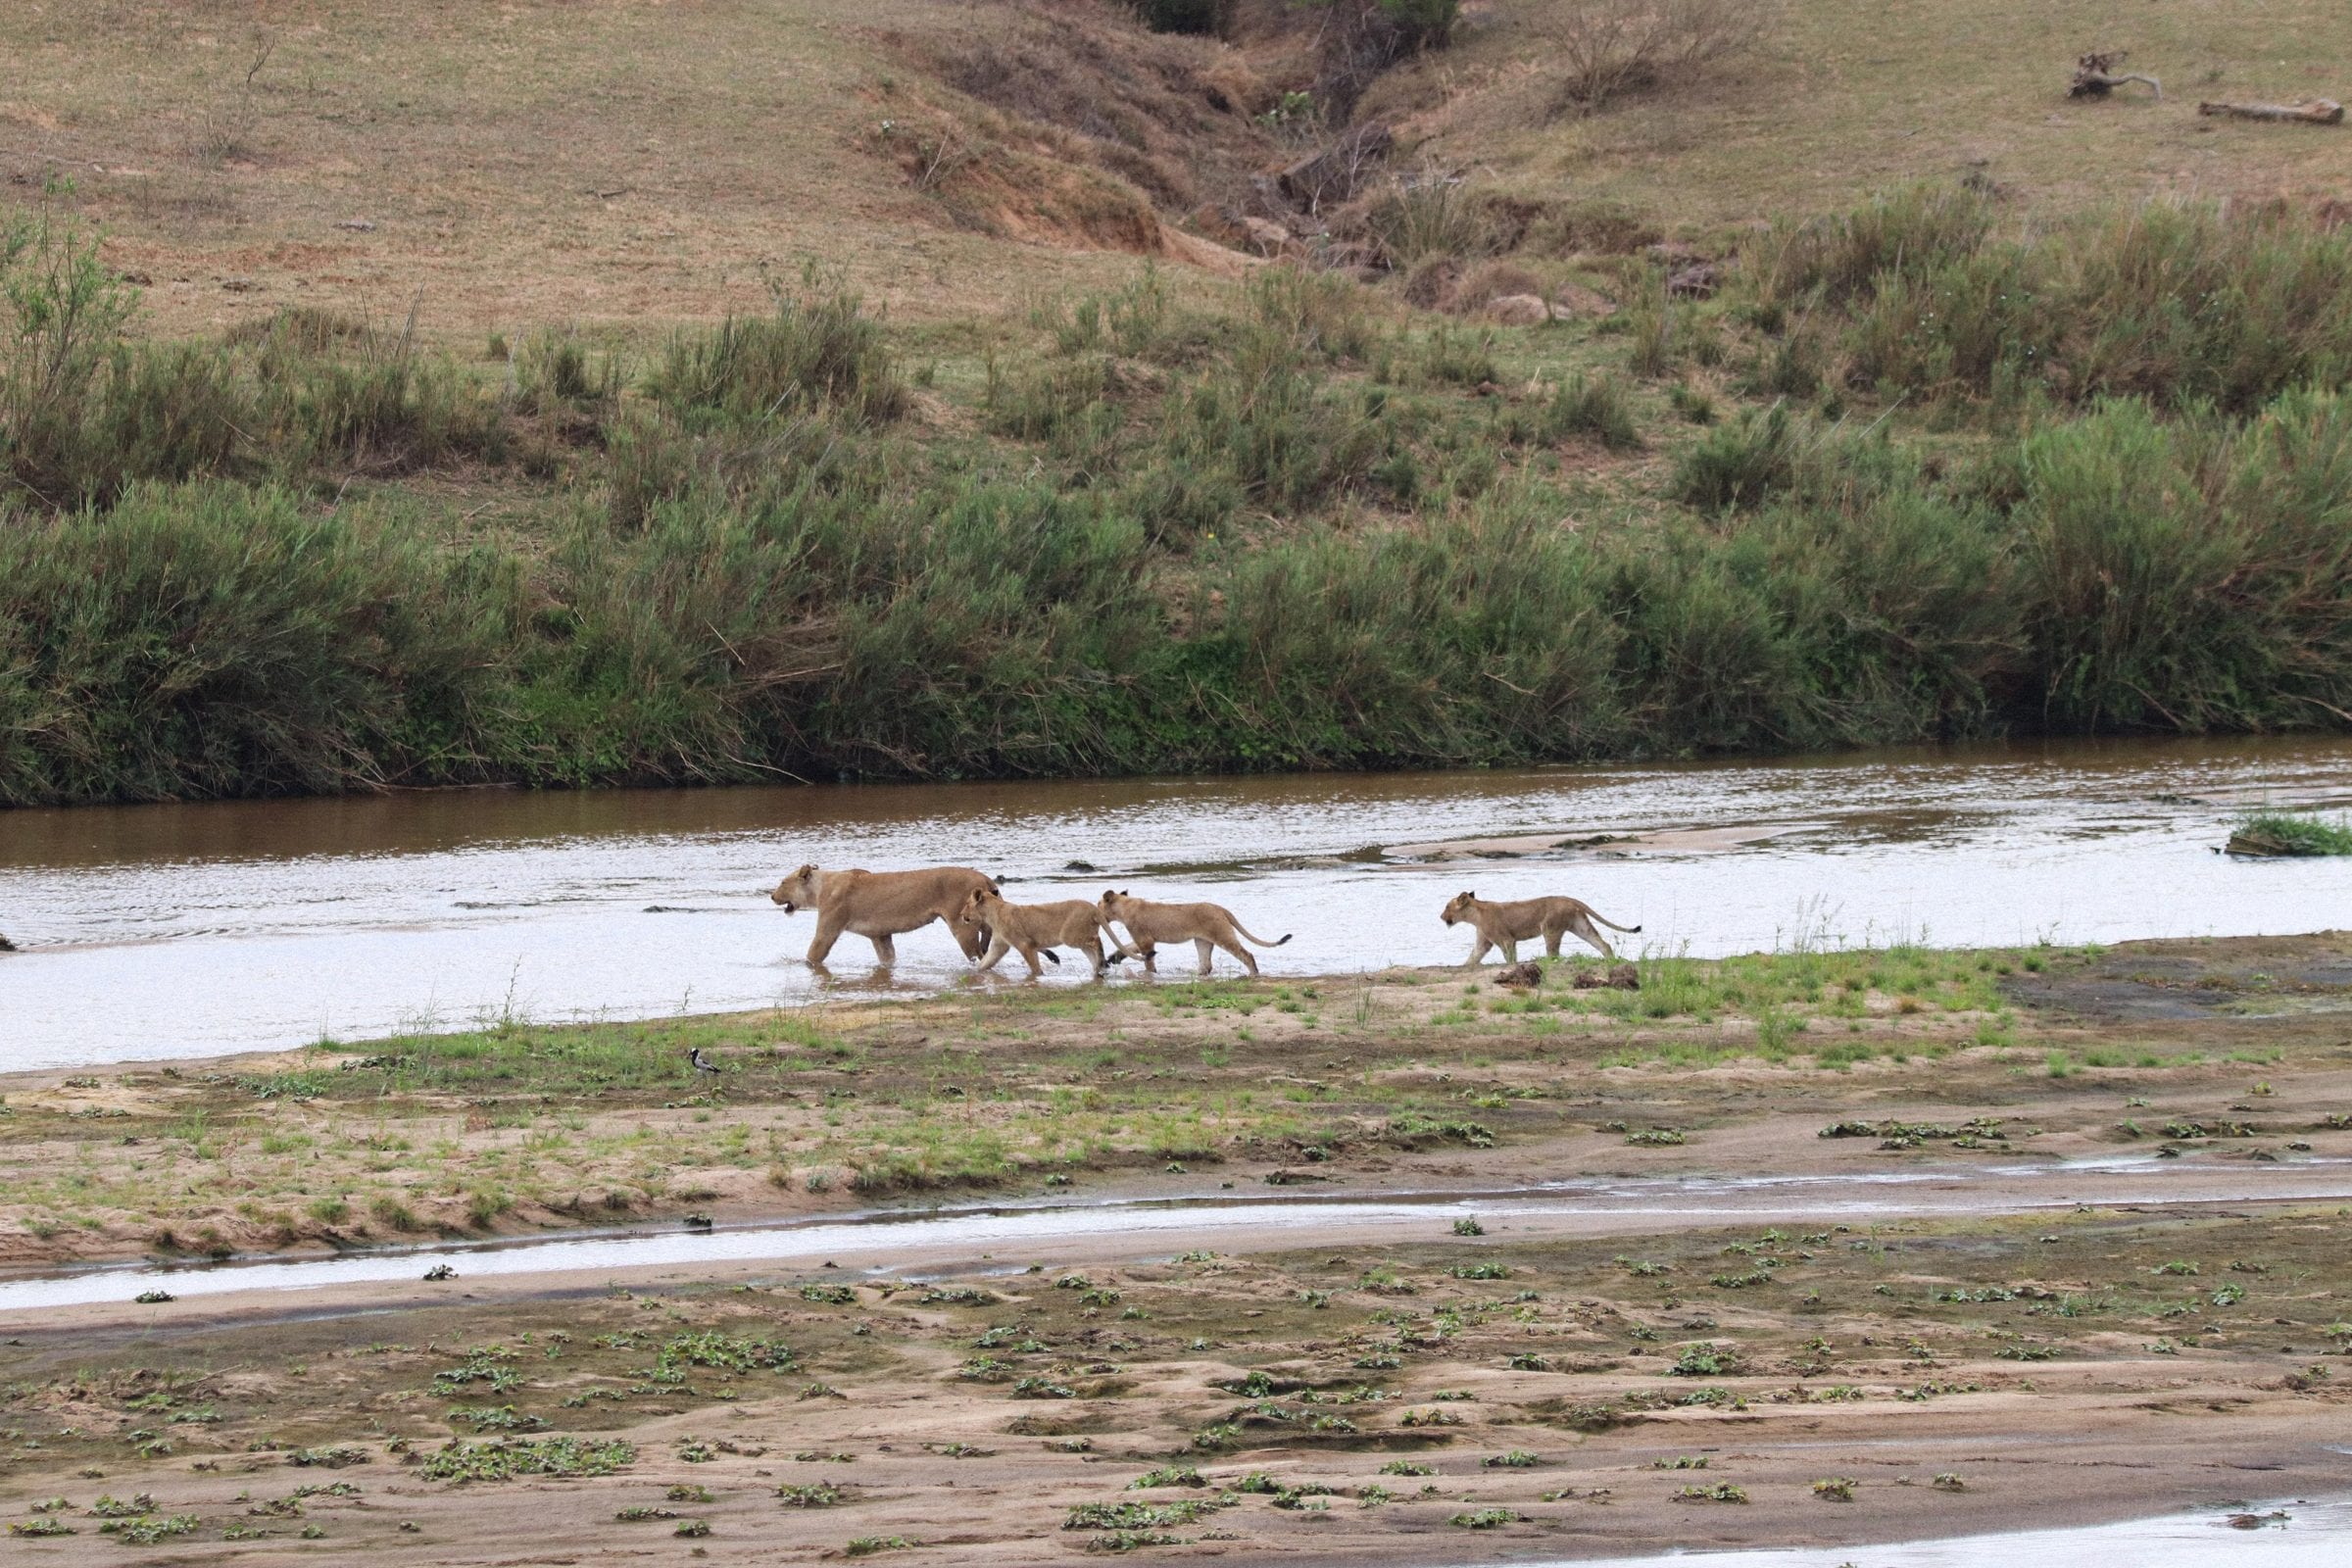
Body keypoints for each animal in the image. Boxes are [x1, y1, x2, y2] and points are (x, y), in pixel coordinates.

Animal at [770, 864, 996, 967]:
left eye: (782, 882)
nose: (772, 896)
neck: (820, 888)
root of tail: (985, 877)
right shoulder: (880, 934)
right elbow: (887, 958)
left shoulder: (828, 930)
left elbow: (813, 954)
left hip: (962, 927)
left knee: (978, 956)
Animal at [960, 886, 1126, 979]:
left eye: (967, 904)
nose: (961, 914)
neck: (993, 912)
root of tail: (1093, 908)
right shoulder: (999, 945)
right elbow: (986, 962)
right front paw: (975, 973)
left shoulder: (1025, 944)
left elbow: (1034, 966)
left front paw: (1037, 977)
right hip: (1079, 939)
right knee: (1092, 950)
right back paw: (1099, 968)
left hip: (1069, 936)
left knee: (1096, 940)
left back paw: (1102, 964)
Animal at [1097, 890, 1291, 977]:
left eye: (1098, 903)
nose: (1096, 908)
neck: (1124, 907)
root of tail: (1220, 908)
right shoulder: (1145, 939)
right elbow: (1128, 948)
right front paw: (1112, 958)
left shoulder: (1145, 938)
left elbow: (1148, 960)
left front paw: (1151, 974)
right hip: (1202, 941)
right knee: (1206, 965)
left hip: (1223, 936)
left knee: (1246, 954)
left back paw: (1253, 974)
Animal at [1440, 890, 1640, 966]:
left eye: (1447, 906)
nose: (1441, 916)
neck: (1475, 916)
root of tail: (1569, 898)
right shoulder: (1483, 942)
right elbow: (1473, 957)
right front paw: (1464, 966)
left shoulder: (1506, 939)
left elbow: (1510, 958)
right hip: (1580, 926)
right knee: (1602, 943)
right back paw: (1610, 960)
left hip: (1550, 928)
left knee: (1554, 953)